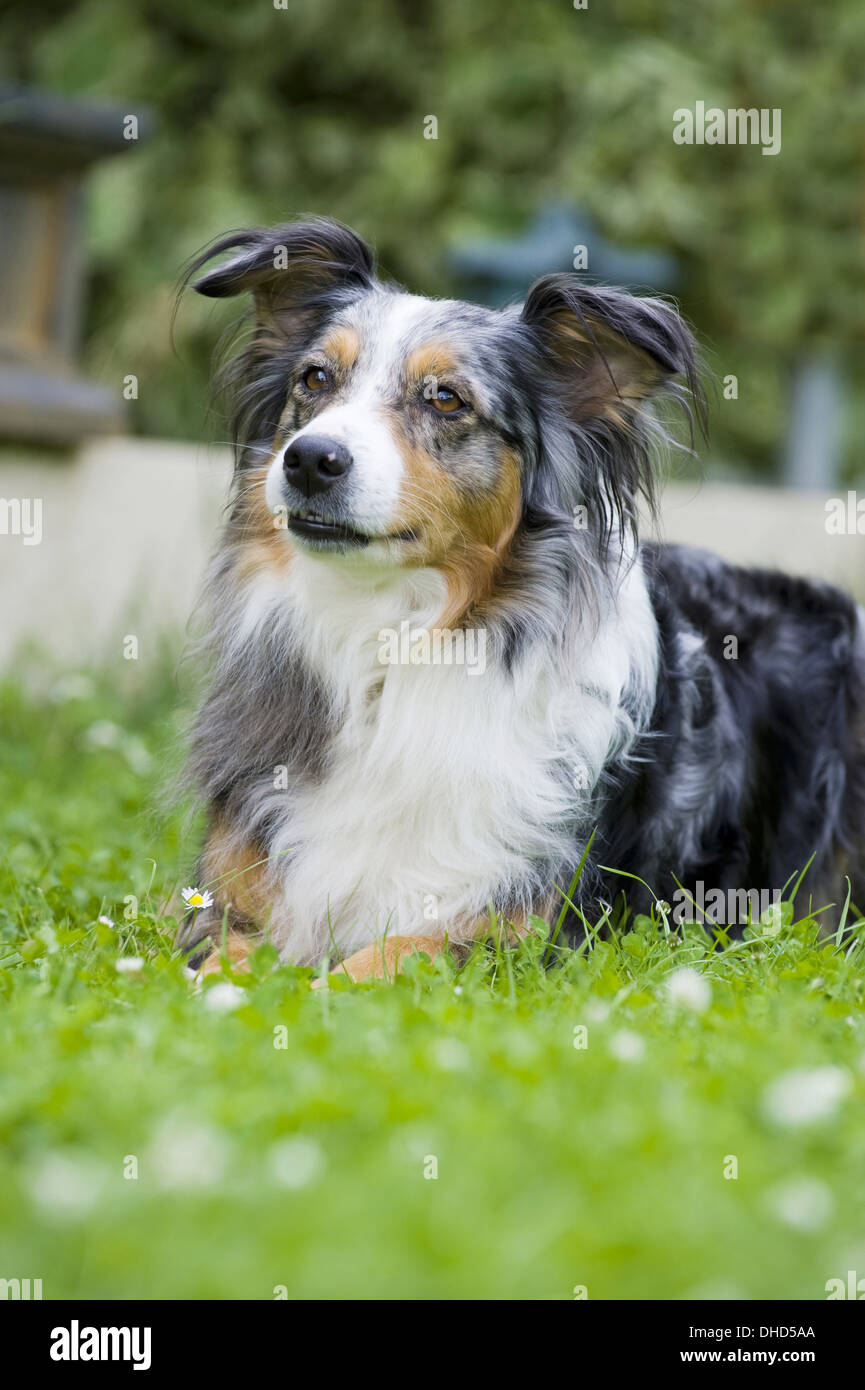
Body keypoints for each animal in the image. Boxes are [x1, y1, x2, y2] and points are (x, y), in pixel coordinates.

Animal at [176, 216, 865, 978]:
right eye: (315, 378)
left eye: (446, 398)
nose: (308, 459)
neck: (395, 637)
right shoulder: (228, 900)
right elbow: (225, 967)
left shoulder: (527, 931)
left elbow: (379, 961)